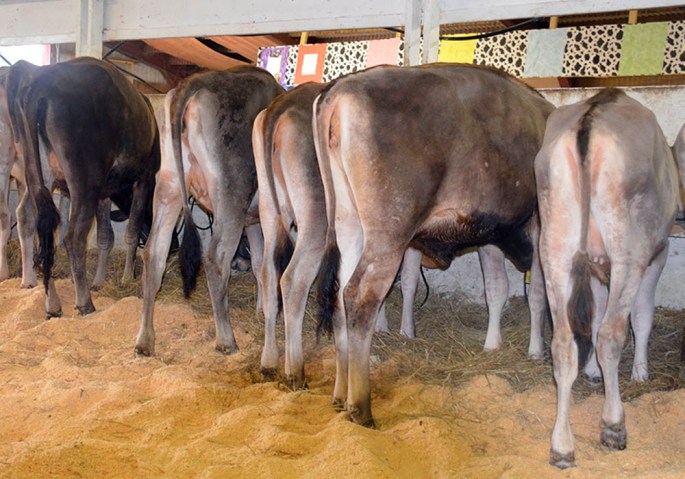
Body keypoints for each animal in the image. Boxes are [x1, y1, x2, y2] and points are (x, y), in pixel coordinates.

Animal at [8, 57, 160, 318]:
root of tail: (41, 80)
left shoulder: (104, 191)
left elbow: (104, 236)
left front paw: (100, 281)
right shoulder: (145, 177)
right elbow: (131, 230)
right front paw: (127, 278)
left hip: (39, 177)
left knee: (39, 227)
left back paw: (51, 303)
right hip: (84, 181)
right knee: (73, 238)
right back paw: (84, 302)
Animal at [134, 66, 283, 357]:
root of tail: (194, 82)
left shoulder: (254, 220)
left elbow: (260, 263)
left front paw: (262, 311)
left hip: (169, 185)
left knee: (154, 252)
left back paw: (144, 340)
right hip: (231, 193)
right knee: (216, 257)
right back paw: (226, 339)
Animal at [254, 81, 524, 389]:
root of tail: (282, 104)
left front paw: (388, 327)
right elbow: (414, 281)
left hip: (269, 211)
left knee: (268, 274)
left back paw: (269, 362)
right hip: (316, 219)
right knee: (292, 280)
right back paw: (295, 372)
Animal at [313, 63, 553, 427]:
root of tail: (342, 86)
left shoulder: (489, 232)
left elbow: (497, 287)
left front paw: (494, 345)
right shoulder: (538, 223)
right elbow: (537, 293)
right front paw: (537, 351)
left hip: (348, 223)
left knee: (340, 295)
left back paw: (341, 396)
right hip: (388, 232)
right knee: (360, 296)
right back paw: (361, 408)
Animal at [535, 88, 678, 468]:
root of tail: (591, 116)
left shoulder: (596, 266)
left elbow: (597, 313)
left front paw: (594, 373)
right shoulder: (657, 254)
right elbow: (642, 317)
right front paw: (641, 371)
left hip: (554, 248)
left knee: (564, 343)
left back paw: (562, 446)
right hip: (628, 251)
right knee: (611, 334)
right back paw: (613, 425)